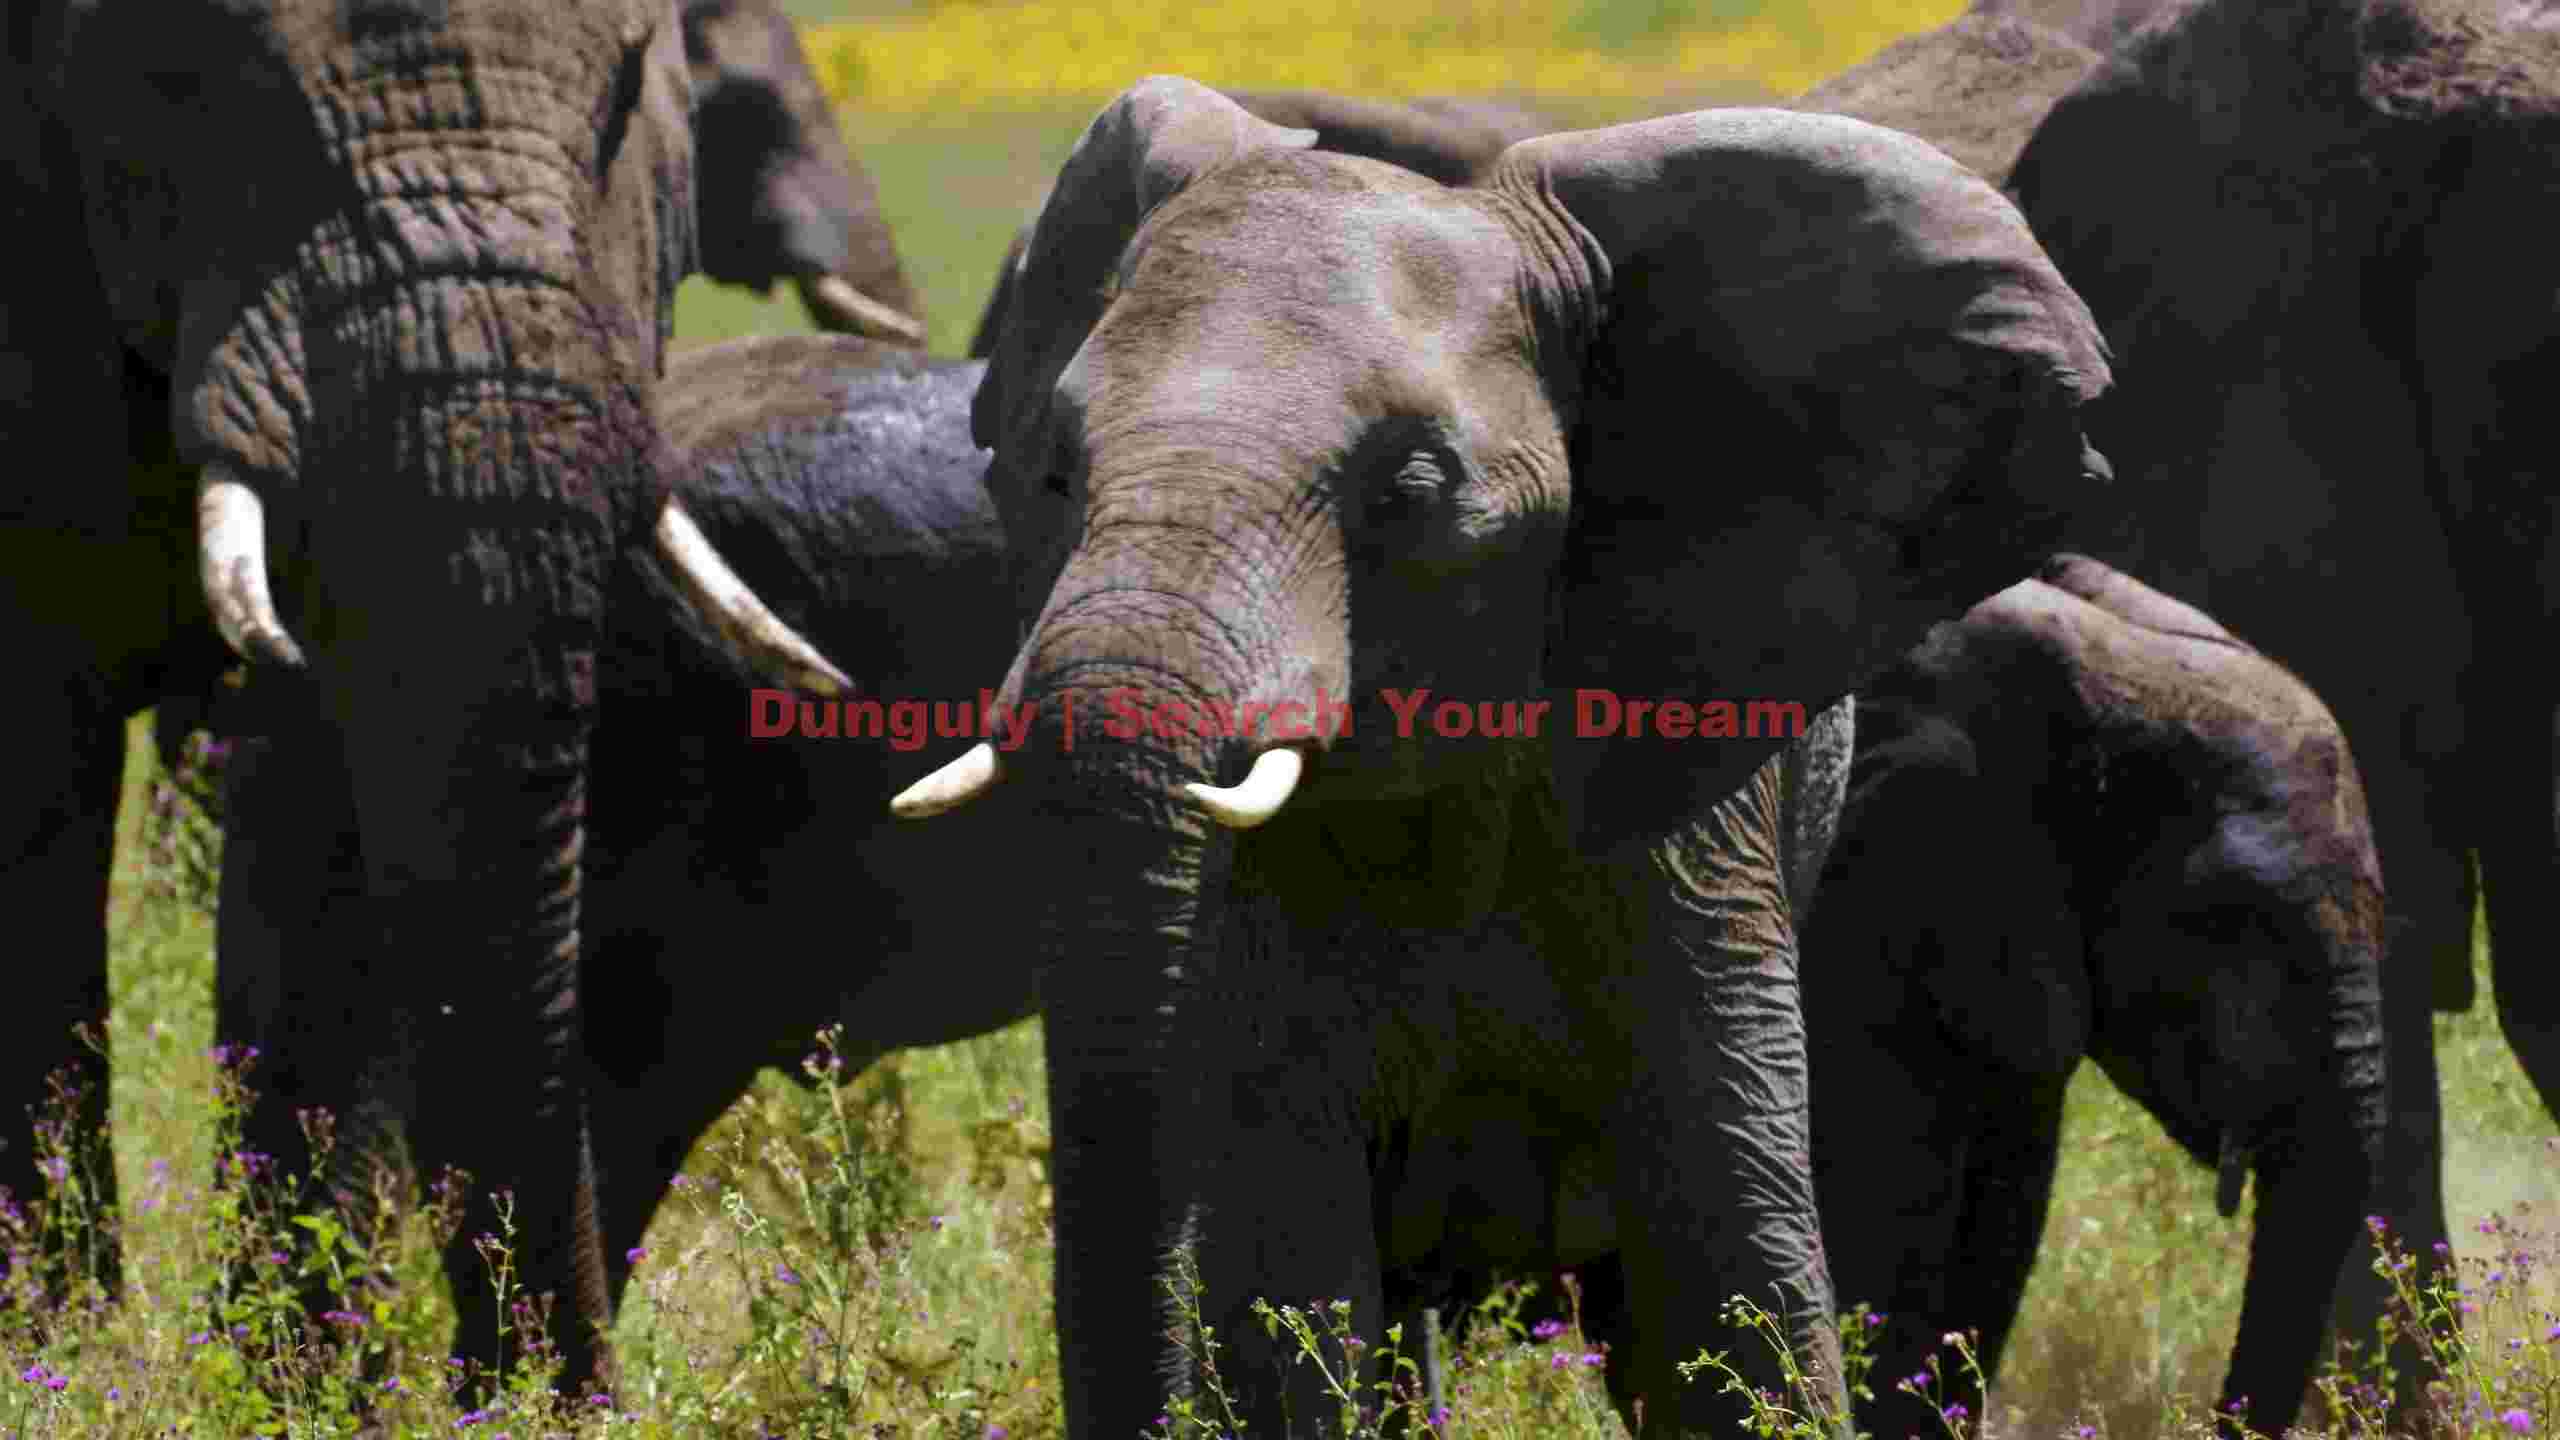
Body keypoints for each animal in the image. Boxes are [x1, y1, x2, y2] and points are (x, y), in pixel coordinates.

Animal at [0, 0, 848, 1389]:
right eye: (186, 85)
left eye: (627, 98)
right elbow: (34, 783)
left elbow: (325, 816)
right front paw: (61, 1358)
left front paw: (289, 1385)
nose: (561, 1394)